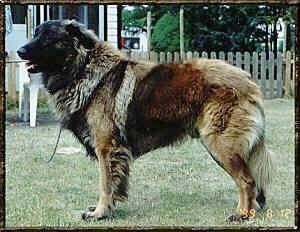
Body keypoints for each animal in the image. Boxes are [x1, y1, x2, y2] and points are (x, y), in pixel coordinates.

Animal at [17, 19, 274, 221]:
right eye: (35, 33)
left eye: (47, 37)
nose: (19, 51)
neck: (83, 68)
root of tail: (247, 79)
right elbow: (114, 185)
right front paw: (108, 209)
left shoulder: (106, 147)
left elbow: (105, 184)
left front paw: (99, 213)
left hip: (220, 144)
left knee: (246, 180)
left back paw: (242, 214)